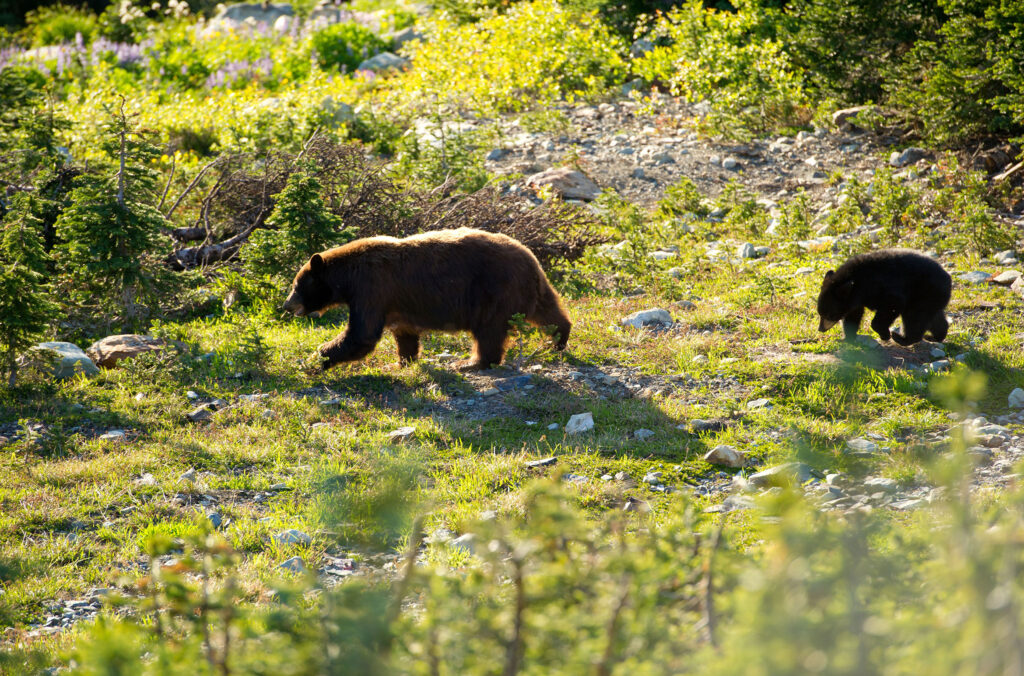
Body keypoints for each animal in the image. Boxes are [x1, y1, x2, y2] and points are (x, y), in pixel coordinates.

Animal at [282, 229, 569, 372]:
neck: (347, 277)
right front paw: (402, 361)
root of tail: (531, 259)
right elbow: (404, 333)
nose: (287, 305)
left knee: (489, 331)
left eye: (297, 285)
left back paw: (470, 363)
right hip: (531, 289)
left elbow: (361, 335)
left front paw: (312, 361)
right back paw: (557, 339)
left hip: (494, 291)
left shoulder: (371, 289)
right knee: (549, 313)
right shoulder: (394, 302)